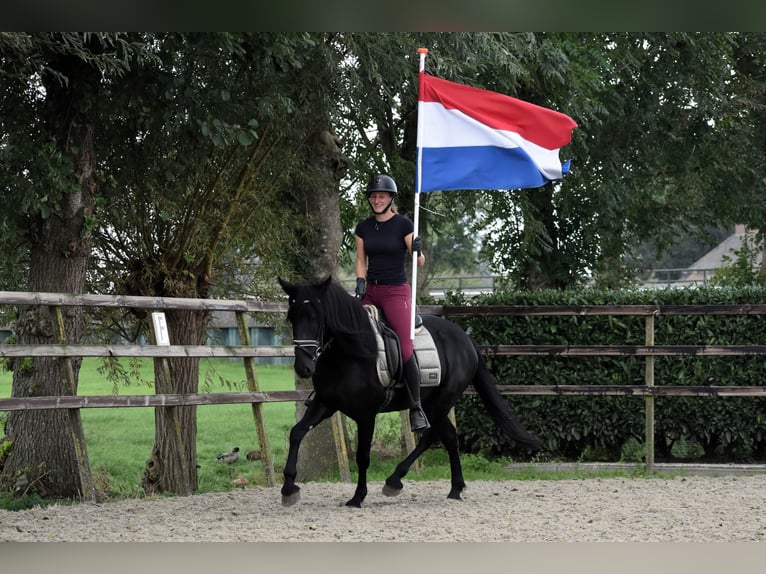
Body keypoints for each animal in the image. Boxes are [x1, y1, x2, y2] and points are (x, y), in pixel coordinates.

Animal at [276, 278, 540, 508]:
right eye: (292, 316)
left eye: (317, 316)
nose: (303, 367)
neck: (349, 352)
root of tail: (465, 338)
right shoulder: (325, 403)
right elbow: (296, 433)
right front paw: (289, 488)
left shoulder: (366, 415)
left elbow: (363, 455)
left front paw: (358, 497)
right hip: (435, 403)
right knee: (449, 436)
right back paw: (455, 489)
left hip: (441, 401)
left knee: (431, 435)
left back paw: (395, 480)